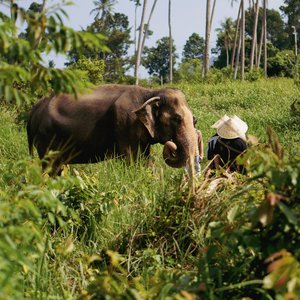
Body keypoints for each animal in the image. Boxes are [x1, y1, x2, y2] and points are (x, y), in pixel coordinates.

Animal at [27, 83, 198, 175]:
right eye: (177, 119)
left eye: (195, 120)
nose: (172, 145)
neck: (150, 92)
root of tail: (35, 109)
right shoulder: (125, 123)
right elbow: (131, 159)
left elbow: (145, 158)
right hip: (46, 138)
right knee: (52, 167)